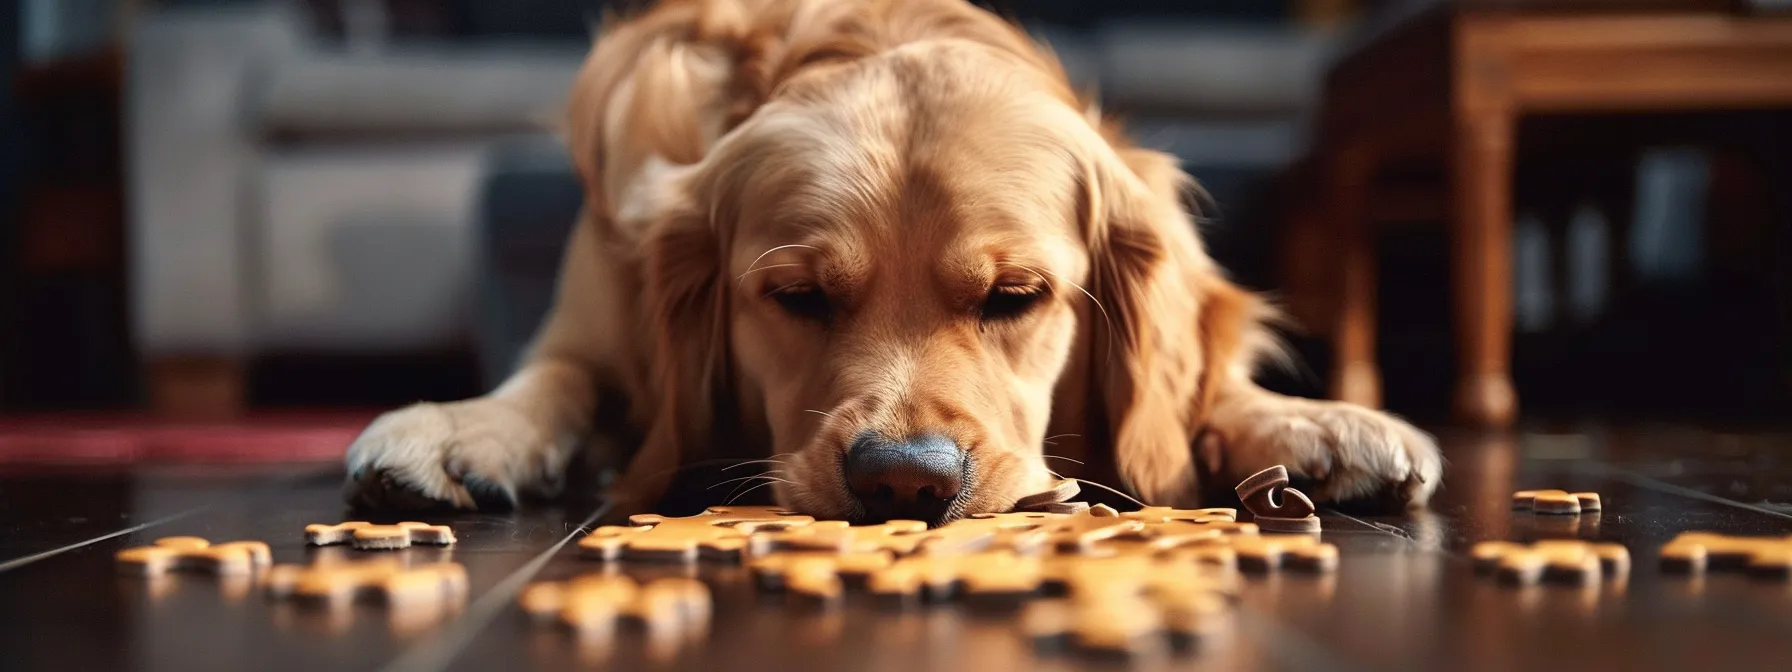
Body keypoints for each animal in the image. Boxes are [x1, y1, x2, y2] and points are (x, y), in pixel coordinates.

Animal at [338, 0, 1440, 526]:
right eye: (795, 296)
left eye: (1016, 296)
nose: (905, 482)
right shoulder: (592, 327)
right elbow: (555, 379)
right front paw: (460, 429)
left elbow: (1208, 386)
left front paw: (1314, 422)